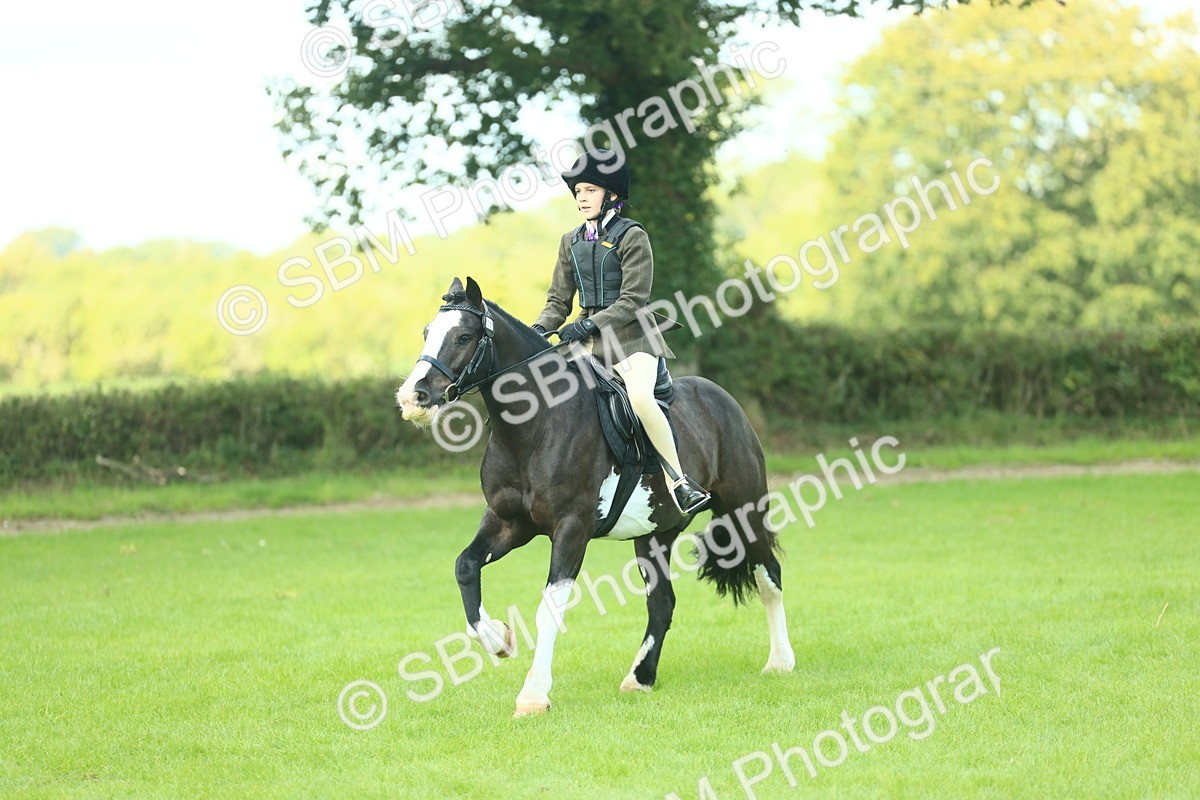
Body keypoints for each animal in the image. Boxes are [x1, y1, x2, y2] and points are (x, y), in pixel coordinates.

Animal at [396, 276, 795, 717]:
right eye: (427, 333)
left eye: (464, 336)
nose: (413, 397)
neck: (536, 427)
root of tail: (723, 399)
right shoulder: (507, 523)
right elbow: (465, 567)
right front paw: (500, 640)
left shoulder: (572, 529)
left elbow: (549, 608)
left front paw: (533, 695)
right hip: (655, 533)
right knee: (662, 602)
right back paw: (640, 678)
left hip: (743, 510)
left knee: (769, 576)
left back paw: (780, 661)